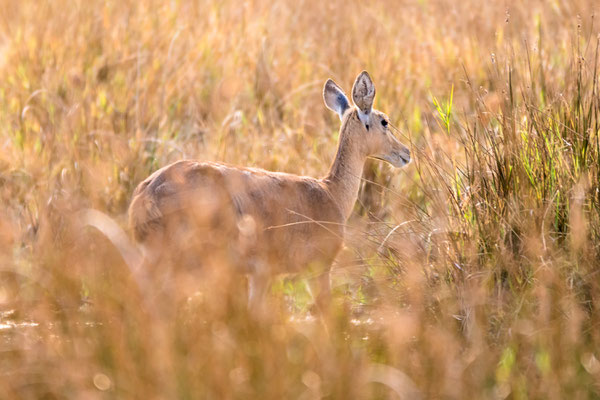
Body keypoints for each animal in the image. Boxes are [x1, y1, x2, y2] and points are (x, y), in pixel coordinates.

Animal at [126, 71, 408, 310]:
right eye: (384, 121)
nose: (406, 152)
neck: (331, 193)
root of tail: (145, 194)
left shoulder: (260, 275)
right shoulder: (317, 269)